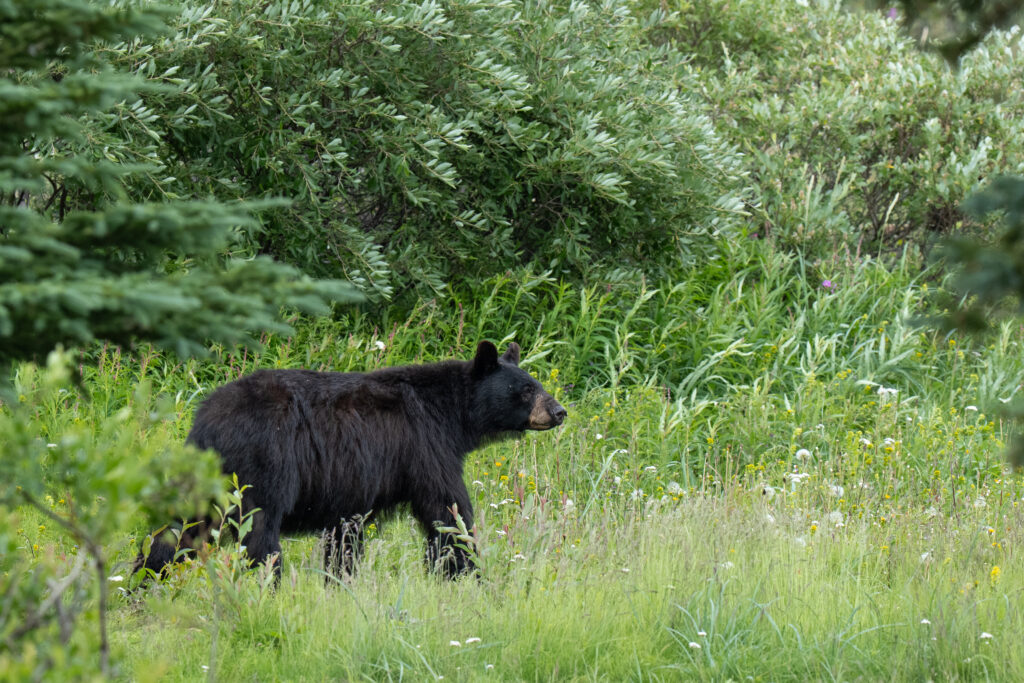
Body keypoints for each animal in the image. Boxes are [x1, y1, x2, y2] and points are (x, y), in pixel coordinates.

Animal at [135, 341, 566, 580]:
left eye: (538, 384)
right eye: (525, 390)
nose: (559, 411)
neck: (451, 414)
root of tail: (210, 421)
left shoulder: (350, 486)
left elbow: (345, 537)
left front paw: (340, 584)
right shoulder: (426, 448)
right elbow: (447, 511)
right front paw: (466, 573)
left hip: (202, 475)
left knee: (177, 530)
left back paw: (145, 578)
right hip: (264, 465)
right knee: (260, 534)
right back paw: (267, 584)